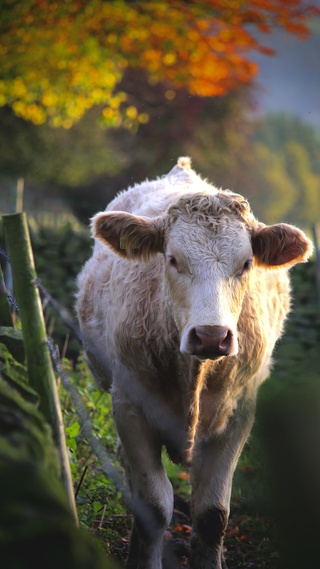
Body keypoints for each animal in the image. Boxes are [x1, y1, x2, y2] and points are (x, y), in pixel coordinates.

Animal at [76, 156, 312, 568]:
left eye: (246, 263)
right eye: (172, 259)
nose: (212, 335)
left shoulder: (239, 413)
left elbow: (212, 513)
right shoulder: (129, 405)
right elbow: (154, 505)